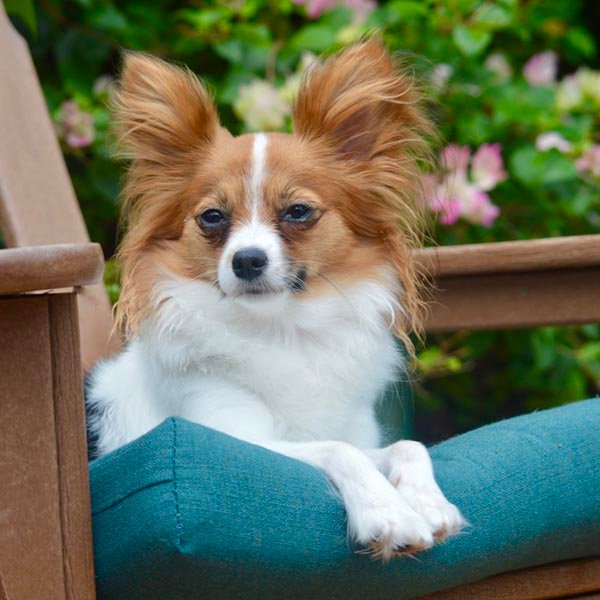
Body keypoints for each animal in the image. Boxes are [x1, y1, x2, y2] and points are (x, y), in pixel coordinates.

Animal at [88, 41, 464, 556]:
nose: (247, 260)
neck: (283, 330)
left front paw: (428, 503)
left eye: (298, 211)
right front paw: (388, 513)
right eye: (211, 217)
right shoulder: (236, 438)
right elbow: (341, 450)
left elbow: (407, 446)